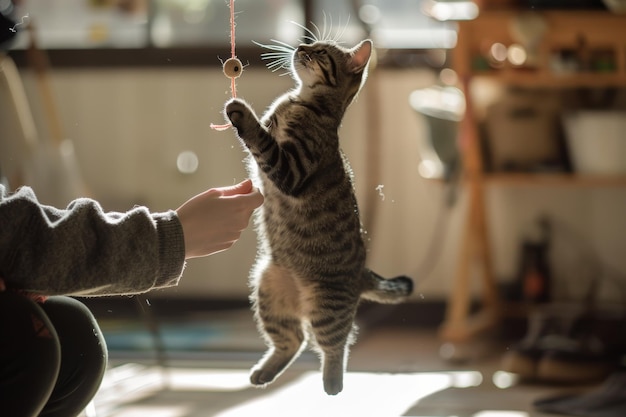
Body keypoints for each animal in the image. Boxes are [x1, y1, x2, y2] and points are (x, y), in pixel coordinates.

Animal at [222, 35, 412, 394]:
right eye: (311, 43)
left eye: (321, 51)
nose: (301, 47)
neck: (302, 102)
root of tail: (362, 273)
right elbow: (260, 143)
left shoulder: (291, 168)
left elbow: (261, 139)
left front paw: (242, 114)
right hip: (267, 292)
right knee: (292, 341)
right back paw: (264, 372)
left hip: (326, 306)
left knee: (337, 344)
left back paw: (332, 382)